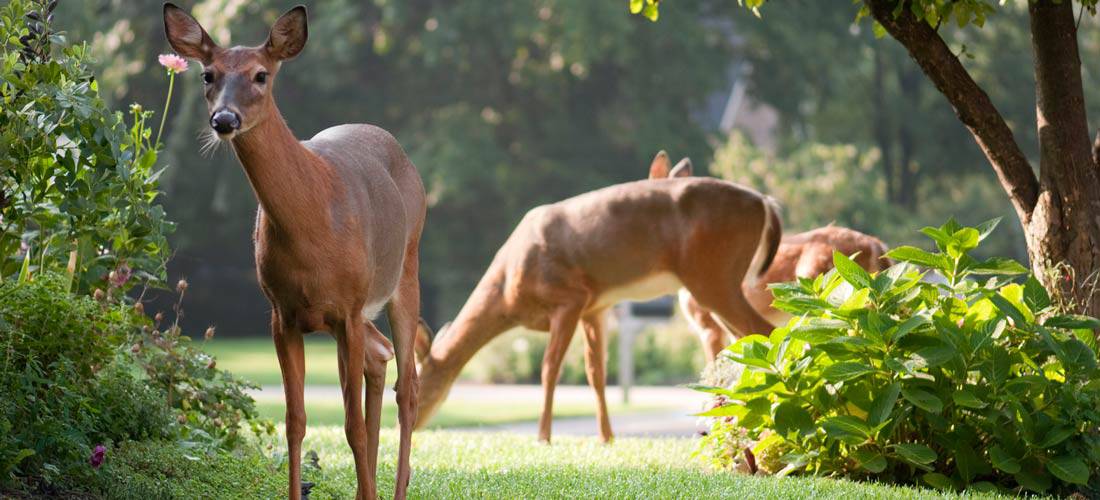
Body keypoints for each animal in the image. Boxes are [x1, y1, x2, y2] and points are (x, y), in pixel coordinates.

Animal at [164, 5, 425, 499]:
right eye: (208, 74)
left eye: (261, 74)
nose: (224, 120)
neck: (312, 228)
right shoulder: (281, 312)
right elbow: (295, 422)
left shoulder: (348, 307)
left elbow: (351, 425)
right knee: (380, 357)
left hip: (404, 269)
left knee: (408, 387)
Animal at [412, 169, 782, 444]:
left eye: (417, 384)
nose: (409, 425)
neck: (507, 292)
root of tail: (765, 202)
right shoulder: (595, 308)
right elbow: (597, 373)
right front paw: (606, 437)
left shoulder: (569, 298)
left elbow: (549, 369)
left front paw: (543, 437)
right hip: (717, 279)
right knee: (746, 340)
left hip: (712, 274)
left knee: (765, 331)